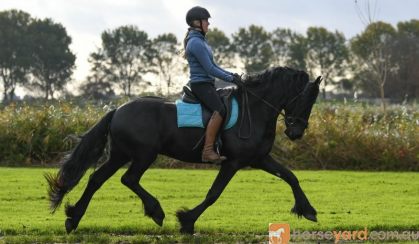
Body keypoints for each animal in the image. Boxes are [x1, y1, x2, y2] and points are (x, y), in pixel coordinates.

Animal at [45, 66, 322, 234]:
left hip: (120, 154)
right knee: (129, 178)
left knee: (96, 179)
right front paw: (187, 221)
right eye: (306, 99)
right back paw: (156, 211)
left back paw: (73, 218)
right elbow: (213, 194)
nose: (296, 132)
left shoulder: (260, 158)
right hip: (143, 154)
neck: (254, 109)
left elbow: (290, 177)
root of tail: (117, 110)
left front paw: (308, 210)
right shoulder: (232, 162)